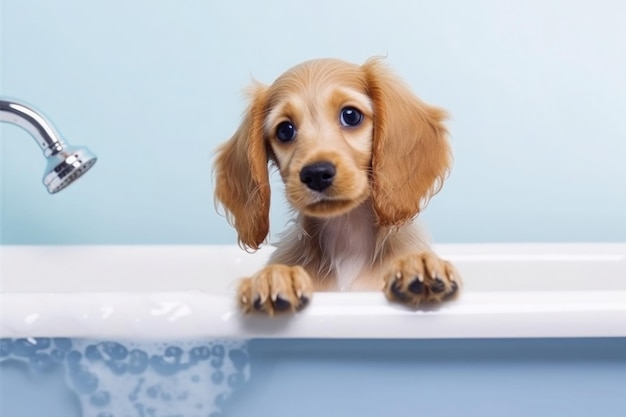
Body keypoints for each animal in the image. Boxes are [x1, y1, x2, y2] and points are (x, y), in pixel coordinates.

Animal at [214, 57, 458, 312]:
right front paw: (275, 278)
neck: (347, 241)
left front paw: (418, 268)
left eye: (350, 116)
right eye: (285, 130)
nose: (316, 174)